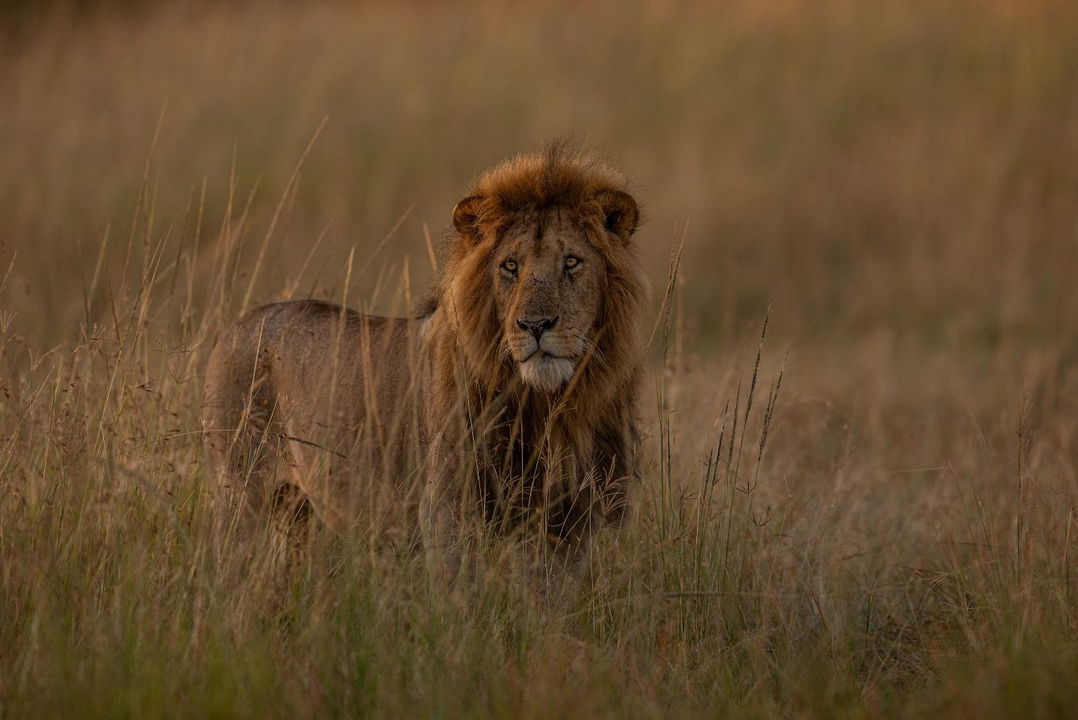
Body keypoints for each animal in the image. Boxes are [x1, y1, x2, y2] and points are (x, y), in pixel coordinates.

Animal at [202, 144, 648, 573]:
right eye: (510, 266)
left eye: (571, 262)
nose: (535, 324)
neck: (543, 403)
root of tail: (238, 325)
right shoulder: (449, 511)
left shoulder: (570, 521)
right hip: (241, 495)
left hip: (297, 512)